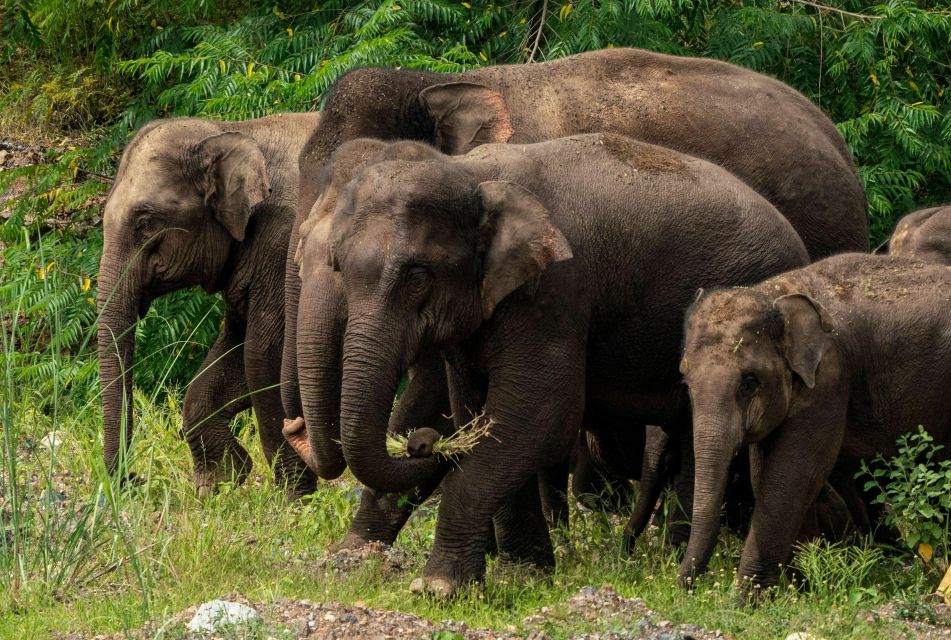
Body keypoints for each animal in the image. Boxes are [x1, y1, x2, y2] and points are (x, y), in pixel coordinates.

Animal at [97, 112, 322, 498]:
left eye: (145, 222)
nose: (134, 480)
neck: (235, 132)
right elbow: (234, 350)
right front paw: (219, 483)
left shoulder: (285, 247)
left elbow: (263, 355)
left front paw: (295, 500)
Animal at [316, 134, 816, 596]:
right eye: (339, 266)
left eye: (418, 276)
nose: (422, 443)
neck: (471, 173)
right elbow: (478, 411)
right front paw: (524, 574)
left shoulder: (555, 291)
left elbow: (540, 414)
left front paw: (437, 587)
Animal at [676, 254, 951, 596]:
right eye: (686, 381)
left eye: (750, 382)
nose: (686, 590)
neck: (775, 293)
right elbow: (767, 474)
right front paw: (803, 586)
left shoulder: (829, 377)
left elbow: (791, 474)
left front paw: (747, 599)